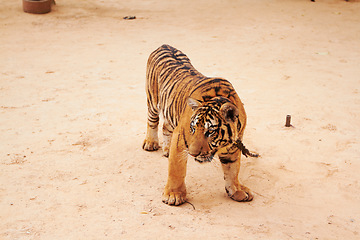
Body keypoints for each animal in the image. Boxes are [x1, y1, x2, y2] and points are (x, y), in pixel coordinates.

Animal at [142, 44, 258, 205]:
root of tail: (164, 45)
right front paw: (173, 195)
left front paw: (237, 190)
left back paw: (167, 149)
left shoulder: (233, 146)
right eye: (193, 128)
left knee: (166, 126)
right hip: (153, 99)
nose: (192, 154)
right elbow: (176, 169)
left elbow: (233, 169)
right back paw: (151, 143)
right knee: (152, 120)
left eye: (210, 132)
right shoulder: (180, 139)